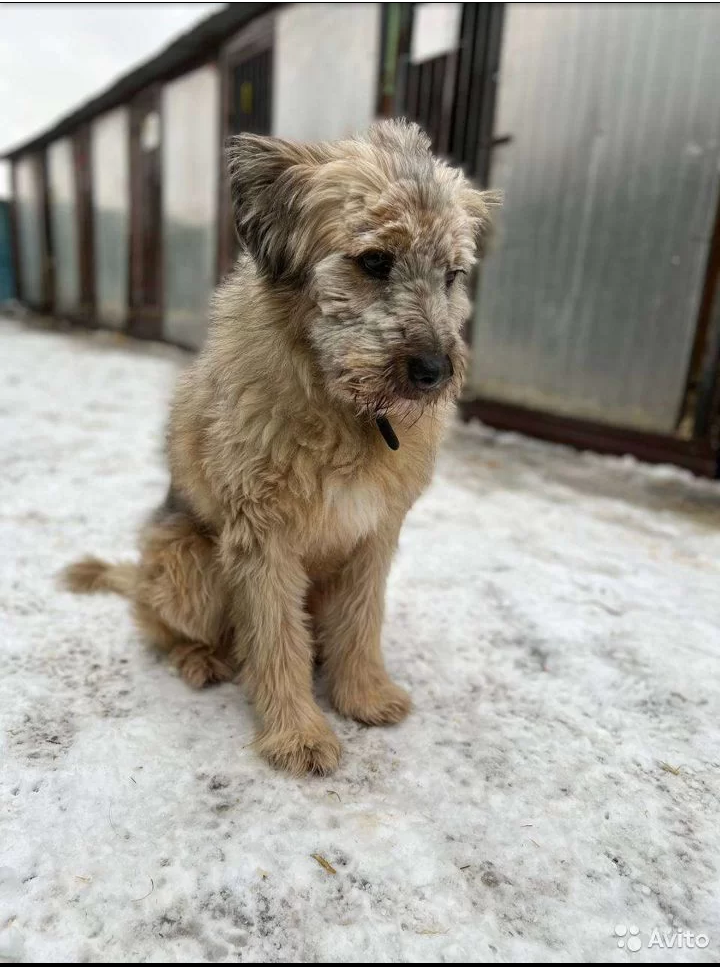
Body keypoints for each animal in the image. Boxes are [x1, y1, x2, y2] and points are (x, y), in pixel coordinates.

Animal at [64, 117, 498, 776]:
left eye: (452, 274)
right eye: (375, 260)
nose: (434, 372)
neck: (347, 410)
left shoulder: (373, 533)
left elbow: (361, 619)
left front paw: (363, 694)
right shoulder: (262, 537)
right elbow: (273, 638)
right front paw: (298, 734)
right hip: (189, 564)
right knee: (163, 626)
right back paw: (201, 659)